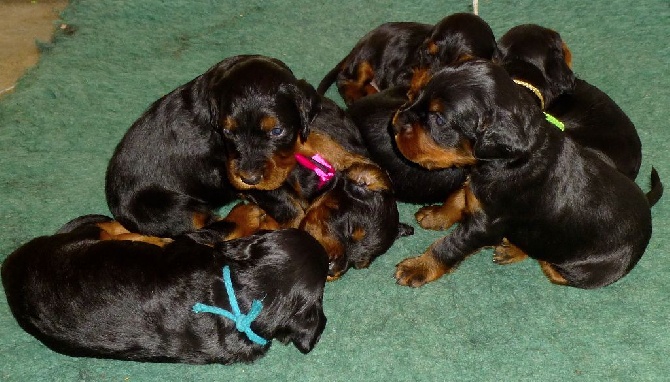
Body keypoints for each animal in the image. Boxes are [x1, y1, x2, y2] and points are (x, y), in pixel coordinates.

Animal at [105, 55, 322, 237]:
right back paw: (247, 215)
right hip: (166, 210)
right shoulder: (223, 172)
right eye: (228, 131)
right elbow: (285, 205)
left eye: (277, 131)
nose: (249, 178)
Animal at [394, 61, 660, 290]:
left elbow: (450, 245)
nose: (395, 123)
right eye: (417, 94)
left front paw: (418, 267)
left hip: (586, 268)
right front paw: (436, 215)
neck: (512, 159)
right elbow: (460, 195)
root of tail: (647, 209)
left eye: (438, 119)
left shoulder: (486, 225)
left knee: (552, 264)